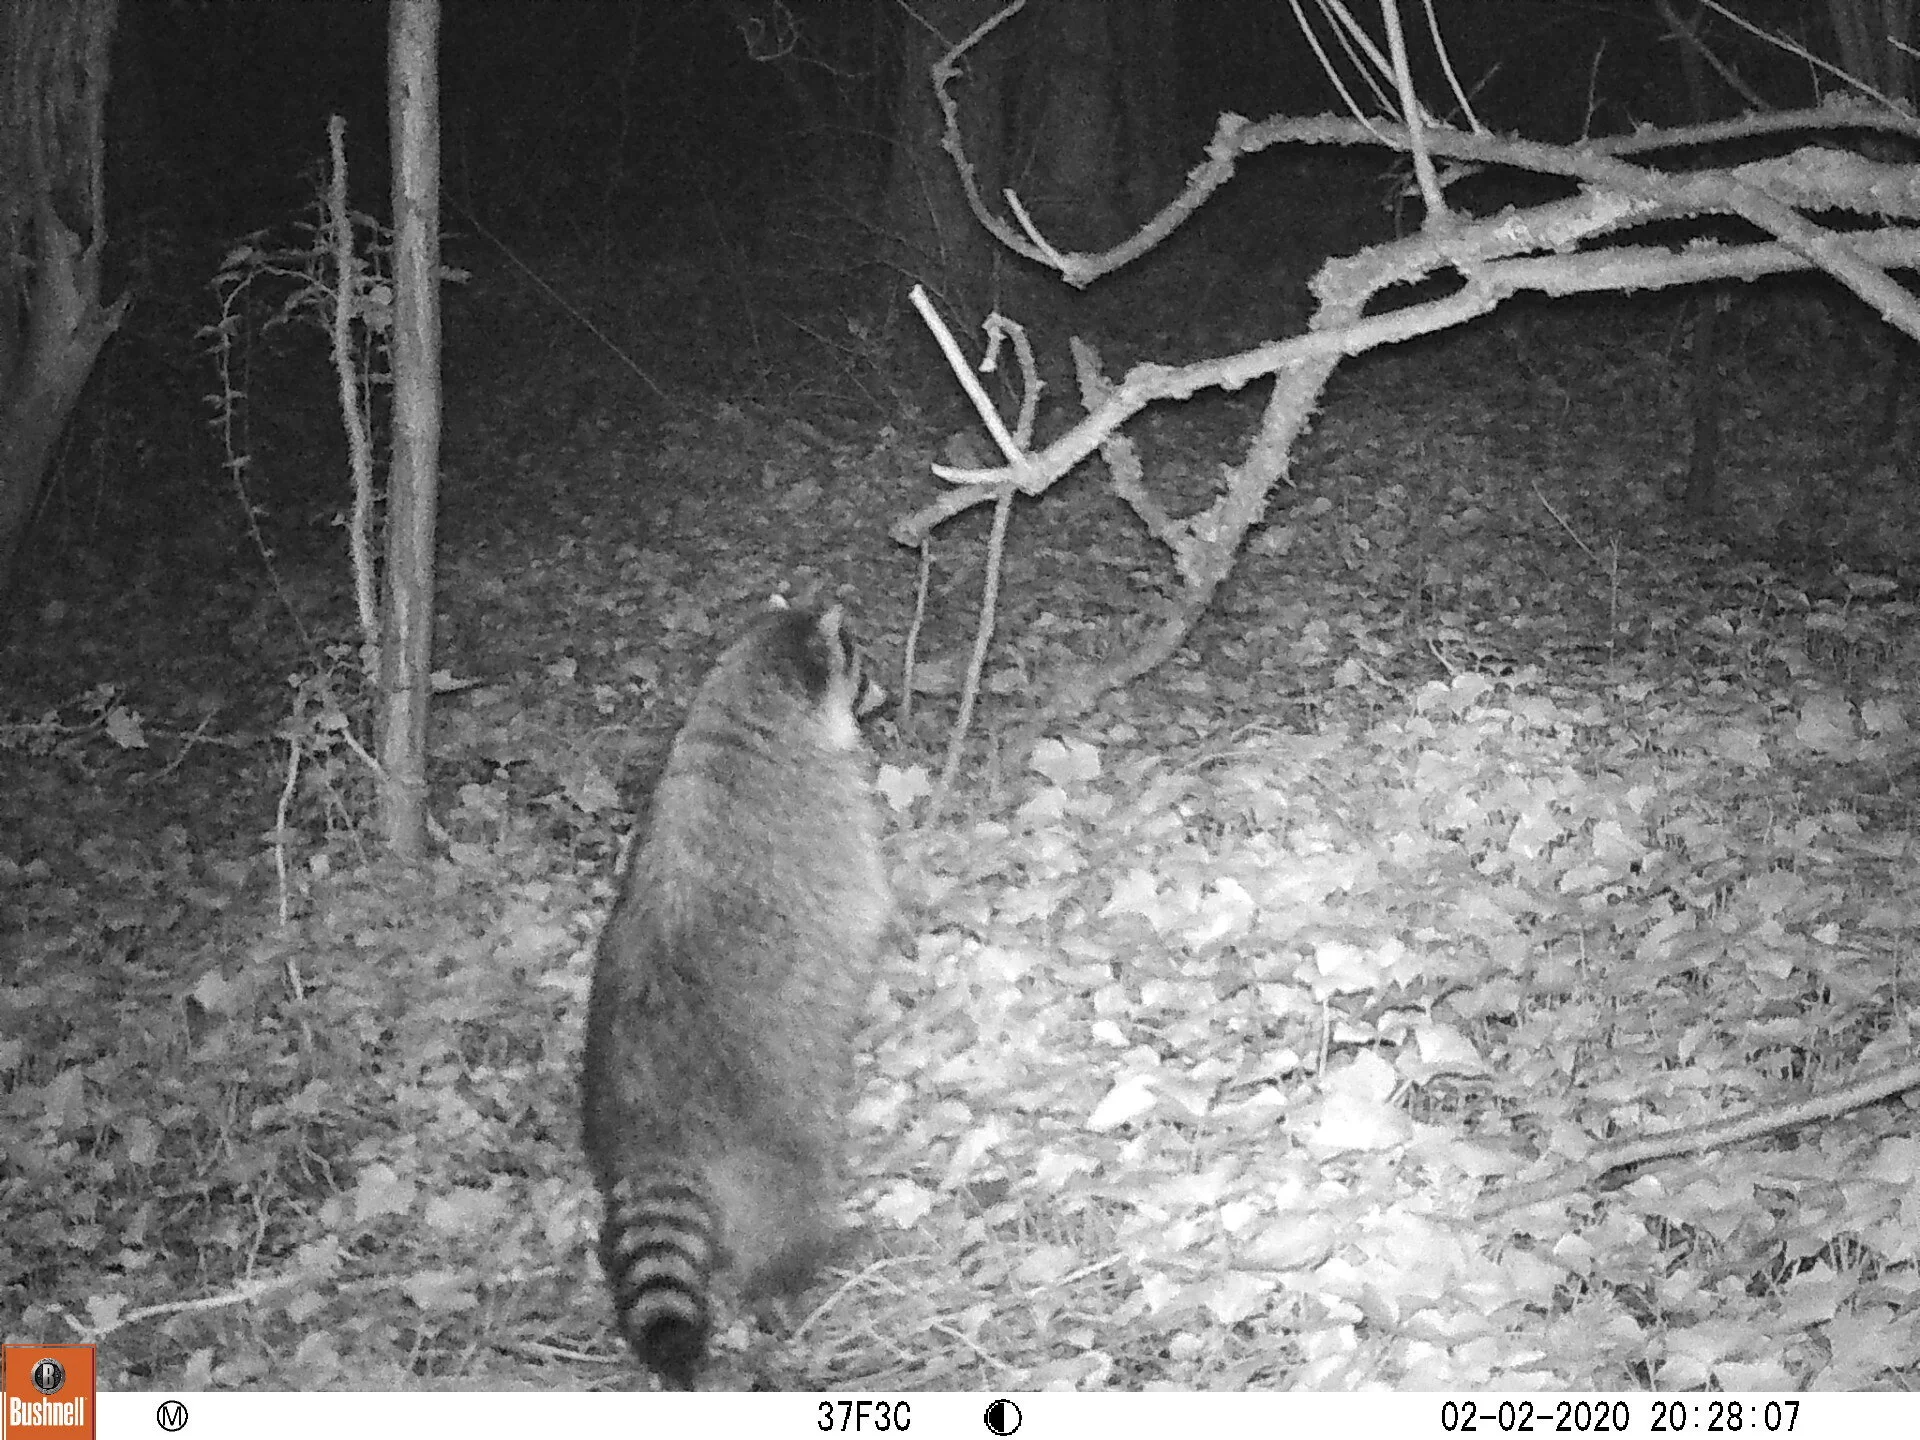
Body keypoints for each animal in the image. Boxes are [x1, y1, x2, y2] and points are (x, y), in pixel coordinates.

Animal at [580, 602, 892, 1389]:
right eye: (858, 661)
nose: (883, 695)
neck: (742, 709)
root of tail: (648, 1127)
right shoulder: (832, 817)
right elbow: (870, 906)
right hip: (775, 1134)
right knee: (792, 1207)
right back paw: (801, 1268)